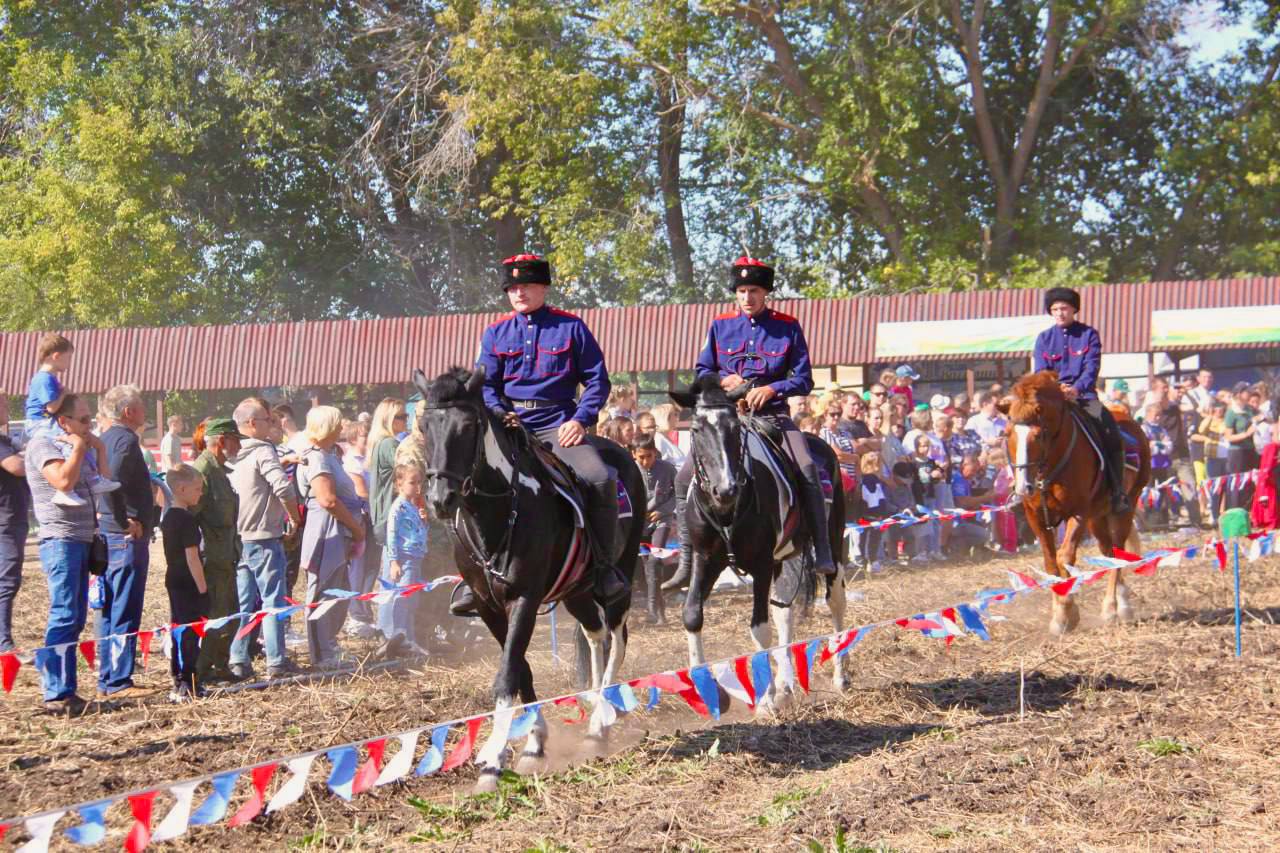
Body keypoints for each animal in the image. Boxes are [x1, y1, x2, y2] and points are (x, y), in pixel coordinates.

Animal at [414, 361, 645, 788]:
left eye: (467, 425)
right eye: (424, 426)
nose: (440, 500)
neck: (500, 511)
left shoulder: (525, 597)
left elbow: (507, 675)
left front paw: (493, 762)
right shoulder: (488, 606)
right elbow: (520, 670)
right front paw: (534, 743)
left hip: (619, 577)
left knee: (616, 641)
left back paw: (599, 723)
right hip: (576, 590)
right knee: (595, 635)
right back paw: (592, 703)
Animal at [670, 373, 849, 701]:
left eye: (733, 428)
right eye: (696, 429)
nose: (725, 489)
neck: (727, 512)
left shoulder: (762, 563)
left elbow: (759, 627)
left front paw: (766, 697)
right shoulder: (706, 559)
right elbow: (691, 615)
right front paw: (710, 690)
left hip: (831, 543)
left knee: (835, 602)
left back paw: (841, 676)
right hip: (782, 559)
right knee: (784, 612)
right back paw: (786, 685)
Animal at [998, 368, 1152, 635]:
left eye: (1038, 435)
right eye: (1008, 434)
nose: (1023, 487)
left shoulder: (1077, 513)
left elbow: (1065, 557)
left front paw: (1066, 611)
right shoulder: (1036, 516)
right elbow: (1051, 563)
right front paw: (1061, 612)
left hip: (1125, 507)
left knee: (1118, 551)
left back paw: (1116, 607)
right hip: (1097, 518)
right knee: (1108, 551)